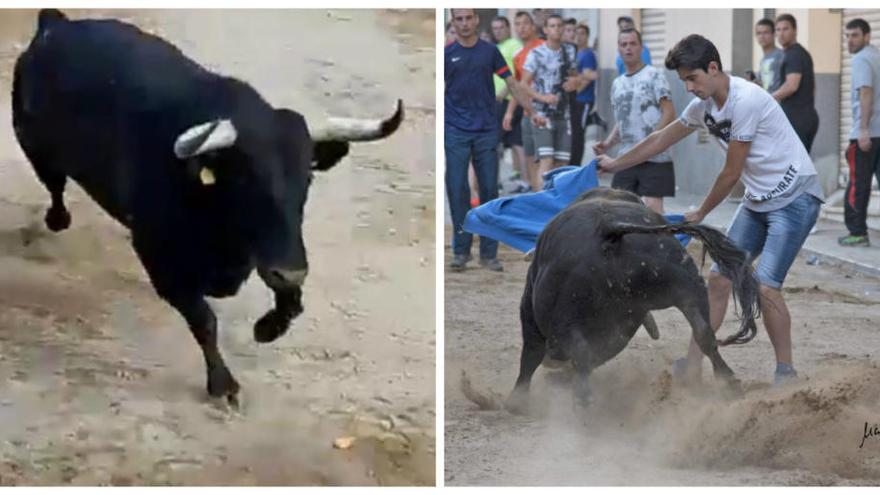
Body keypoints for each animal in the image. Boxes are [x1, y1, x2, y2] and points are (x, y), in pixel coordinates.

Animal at [12, 9, 404, 406]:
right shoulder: (160, 260)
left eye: (307, 178)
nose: (289, 271)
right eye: (246, 178)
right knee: (55, 188)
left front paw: (267, 327)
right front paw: (223, 384)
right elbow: (205, 321)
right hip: (38, 150)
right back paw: (56, 219)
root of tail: (56, 23)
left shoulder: (275, 253)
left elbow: (291, 299)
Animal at [506, 188, 760, 412]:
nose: (555, 362)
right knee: (704, 333)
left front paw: (517, 402)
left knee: (576, 351)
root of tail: (609, 229)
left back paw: (580, 404)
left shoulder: (531, 309)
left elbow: (531, 353)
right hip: (687, 285)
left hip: (565, 317)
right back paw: (729, 384)